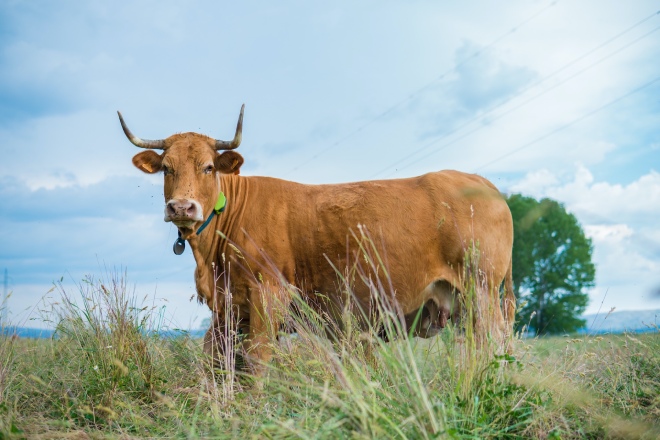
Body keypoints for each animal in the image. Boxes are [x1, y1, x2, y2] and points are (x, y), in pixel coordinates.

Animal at [118, 105, 515, 373]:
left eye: (209, 167)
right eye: (166, 168)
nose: (181, 207)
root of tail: (476, 179)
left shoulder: (268, 296)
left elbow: (257, 360)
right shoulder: (229, 307)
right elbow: (216, 360)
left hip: (481, 288)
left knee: (493, 341)